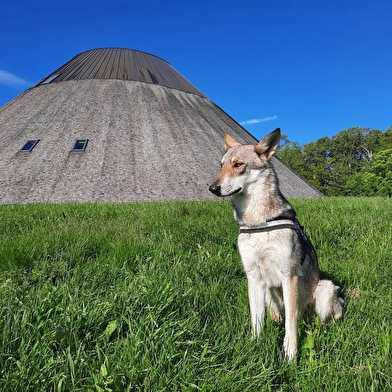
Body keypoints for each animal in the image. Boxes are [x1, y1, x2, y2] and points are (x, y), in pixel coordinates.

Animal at [208, 129, 344, 358]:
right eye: (221, 165)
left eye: (238, 165)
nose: (212, 188)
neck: (258, 222)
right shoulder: (253, 276)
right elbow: (256, 319)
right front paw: (255, 345)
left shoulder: (288, 276)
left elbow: (290, 324)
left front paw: (290, 354)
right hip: (268, 293)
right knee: (276, 316)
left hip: (324, 290)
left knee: (317, 321)